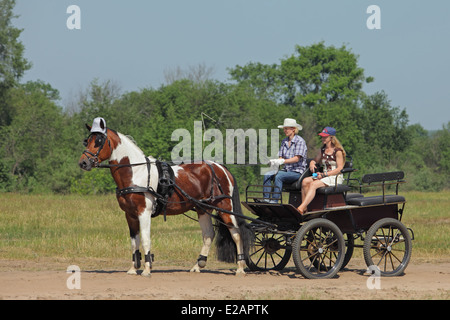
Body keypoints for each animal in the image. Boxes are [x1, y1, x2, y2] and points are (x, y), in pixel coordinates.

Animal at [78, 119, 251, 276]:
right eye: (87, 140)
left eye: (99, 141)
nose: (83, 163)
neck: (136, 173)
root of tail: (220, 167)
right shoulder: (130, 215)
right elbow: (134, 241)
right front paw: (133, 268)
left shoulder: (144, 212)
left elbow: (145, 239)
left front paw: (147, 269)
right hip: (203, 208)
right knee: (208, 234)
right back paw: (198, 265)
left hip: (224, 207)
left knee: (236, 233)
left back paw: (240, 267)